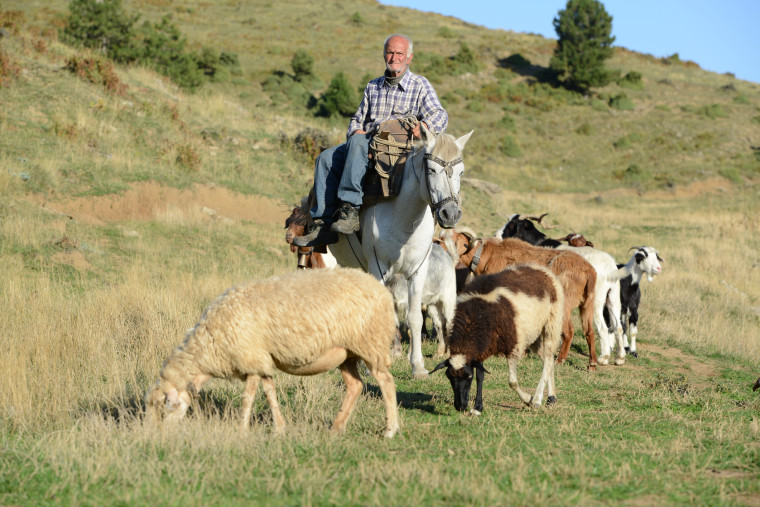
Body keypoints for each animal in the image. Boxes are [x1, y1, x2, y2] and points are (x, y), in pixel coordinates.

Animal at [145, 267, 400, 438]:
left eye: (165, 407)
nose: (159, 437)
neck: (210, 346)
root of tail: (381, 289)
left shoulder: (250, 358)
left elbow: (247, 398)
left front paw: (241, 430)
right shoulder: (262, 361)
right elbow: (270, 393)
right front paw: (280, 428)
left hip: (371, 343)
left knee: (386, 382)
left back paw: (390, 430)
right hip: (346, 353)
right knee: (355, 386)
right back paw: (336, 428)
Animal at [431, 264, 564, 413]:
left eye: (468, 377)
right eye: (449, 376)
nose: (460, 407)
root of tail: (541, 269)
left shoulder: (513, 345)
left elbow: (512, 382)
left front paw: (528, 399)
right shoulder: (480, 349)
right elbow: (480, 376)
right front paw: (478, 408)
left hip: (552, 322)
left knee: (548, 358)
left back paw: (537, 398)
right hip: (534, 333)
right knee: (548, 359)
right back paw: (552, 398)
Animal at [442, 228, 599, 370]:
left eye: (453, 241)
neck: (487, 255)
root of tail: (589, 271)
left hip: (564, 304)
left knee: (569, 331)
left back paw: (560, 360)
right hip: (587, 303)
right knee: (589, 332)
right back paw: (592, 364)